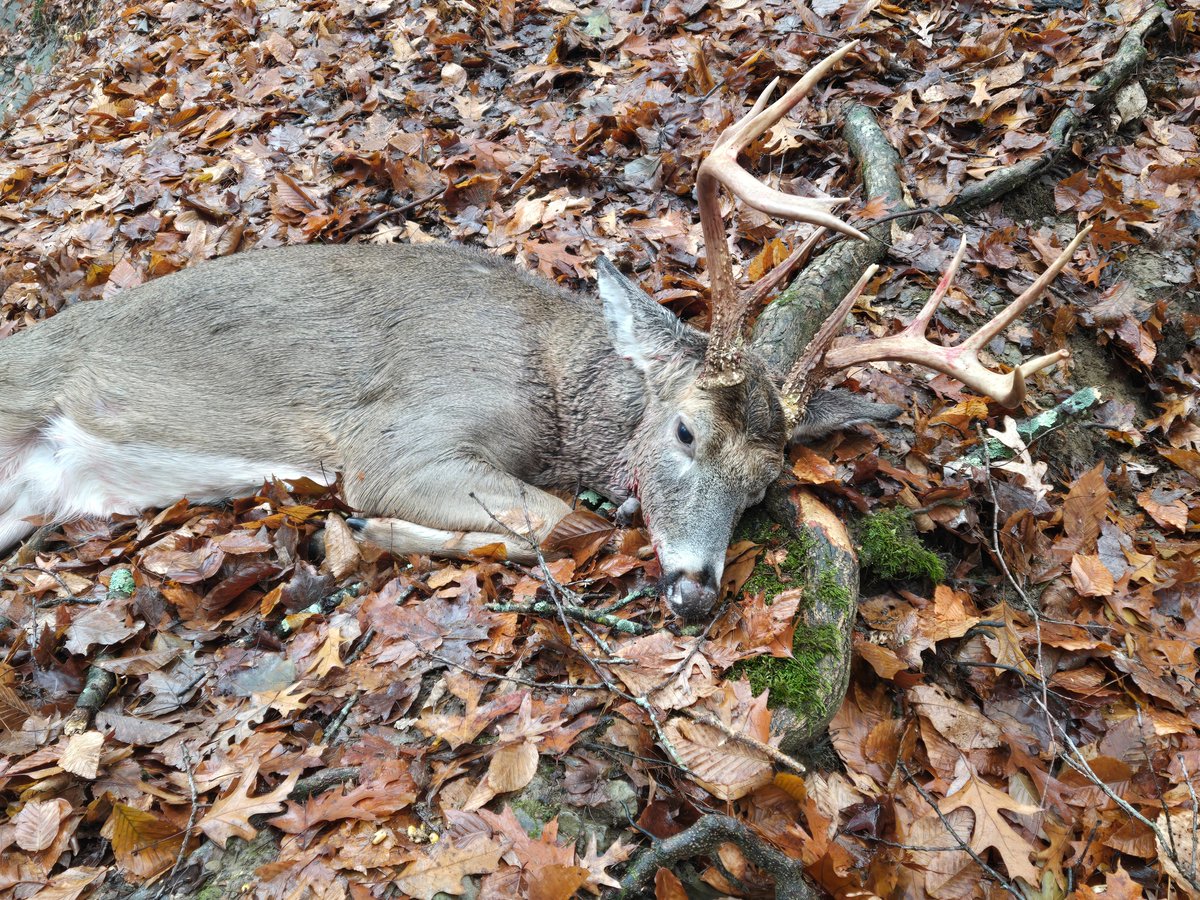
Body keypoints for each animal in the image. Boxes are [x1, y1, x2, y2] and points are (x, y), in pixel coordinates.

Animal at [0, 43, 1088, 619]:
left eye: (765, 484)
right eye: (685, 431)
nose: (696, 591)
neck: (553, 380)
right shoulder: (400, 438)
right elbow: (561, 519)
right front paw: (360, 536)